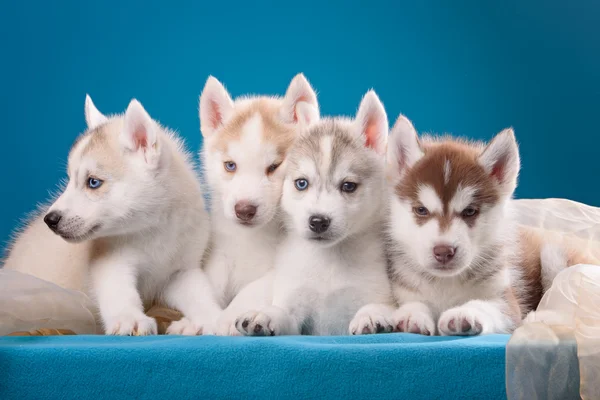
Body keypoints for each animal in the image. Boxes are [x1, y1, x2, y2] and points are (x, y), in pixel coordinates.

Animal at [3, 96, 219, 334]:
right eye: (69, 180)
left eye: (93, 182)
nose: (50, 220)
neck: (153, 230)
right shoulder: (111, 263)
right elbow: (119, 293)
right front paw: (129, 318)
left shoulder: (181, 272)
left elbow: (200, 296)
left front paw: (215, 318)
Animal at [198, 72, 324, 334]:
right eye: (230, 165)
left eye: (274, 167)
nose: (244, 210)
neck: (253, 236)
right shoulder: (221, 252)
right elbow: (211, 284)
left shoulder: (286, 266)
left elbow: (251, 290)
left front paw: (227, 319)